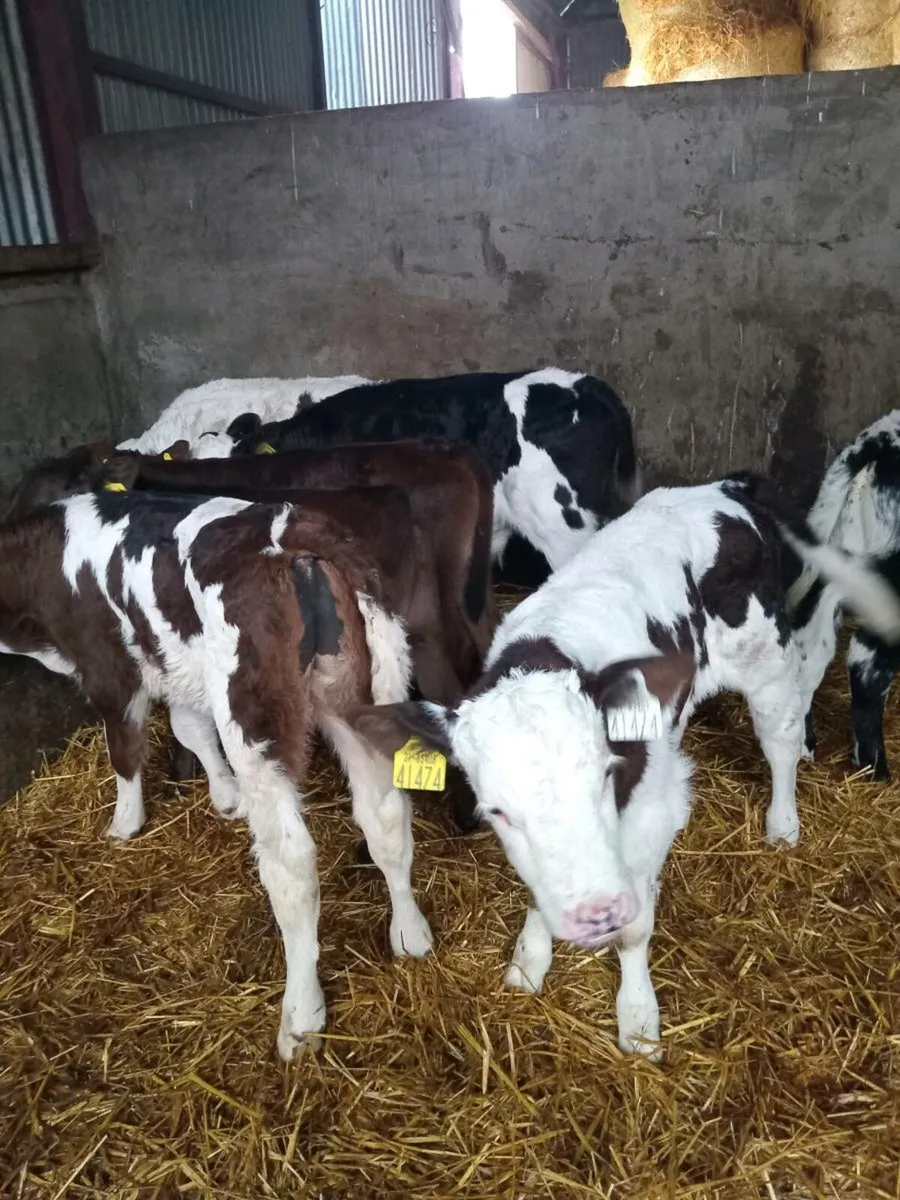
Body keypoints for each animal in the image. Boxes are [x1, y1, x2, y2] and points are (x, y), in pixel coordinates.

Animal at [0, 488, 433, 1060]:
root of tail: (290, 529)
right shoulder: (177, 666)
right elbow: (188, 728)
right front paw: (225, 797)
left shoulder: (110, 670)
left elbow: (125, 750)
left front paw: (123, 825)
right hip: (365, 687)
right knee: (385, 815)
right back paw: (410, 932)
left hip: (252, 714)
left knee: (292, 867)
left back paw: (301, 1016)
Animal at [346, 474, 900, 1060]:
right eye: (497, 811)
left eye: (605, 776)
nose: (597, 915)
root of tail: (723, 488)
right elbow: (541, 891)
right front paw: (530, 960)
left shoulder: (656, 810)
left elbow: (636, 930)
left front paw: (637, 1021)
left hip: (766, 660)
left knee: (781, 741)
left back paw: (783, 825)